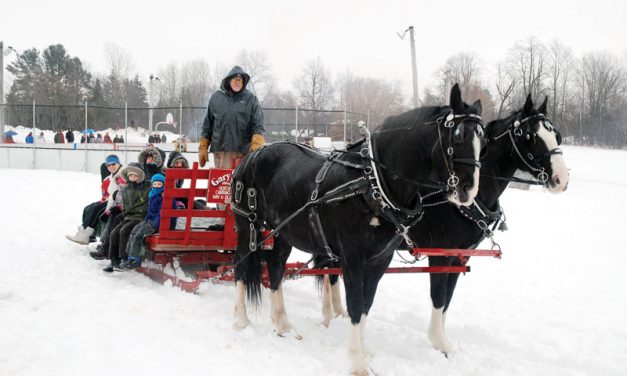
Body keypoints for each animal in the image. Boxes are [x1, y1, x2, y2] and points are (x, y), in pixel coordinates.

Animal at [231, 83, 486, 374]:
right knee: (241, 266)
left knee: (275, 269)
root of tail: (252, 156)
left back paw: (282, 324)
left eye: (483, 140)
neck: (373, 184)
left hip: (283, 232)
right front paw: (357, 362)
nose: (468, 190)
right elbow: (354, 305)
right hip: (247, 225)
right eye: (457, 136)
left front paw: (364, 351)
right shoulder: (353, 259)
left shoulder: (378, 262)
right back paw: (241, 321)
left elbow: (365, 305)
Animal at [322, 93, 572, 356]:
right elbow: (439, 296)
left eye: (557, 136)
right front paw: (438, 342)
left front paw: (443, 340)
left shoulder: (460, 256)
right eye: (530, 136)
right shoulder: (440, 255)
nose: (562, 180)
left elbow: (448, 299)